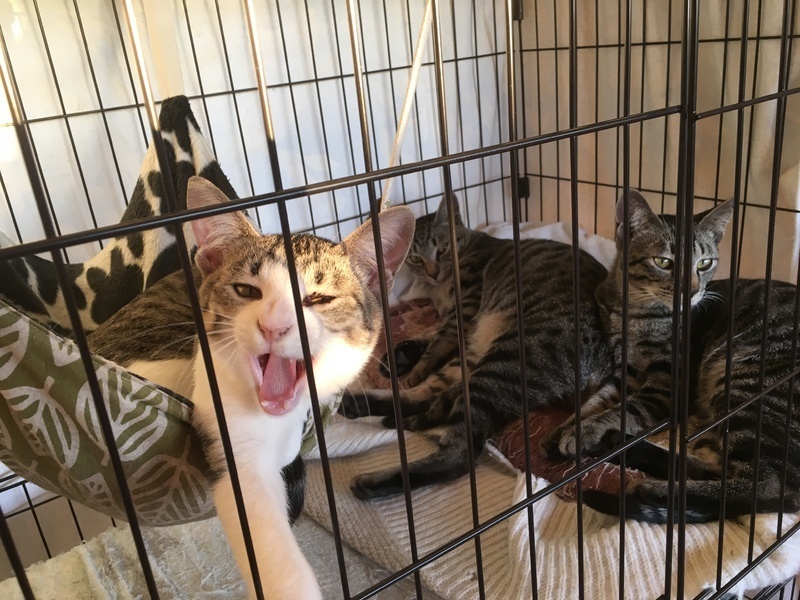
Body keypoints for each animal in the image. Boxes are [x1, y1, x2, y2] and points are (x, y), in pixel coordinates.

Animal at [342, 195, 617, 499]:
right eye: (416, 257)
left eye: (442, 249)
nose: (433, 273)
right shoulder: (461, 326)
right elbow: (431, 336)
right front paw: (402, 356)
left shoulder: (464, 312)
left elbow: (437, 342)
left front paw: (414, 365)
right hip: (480, 357)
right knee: (429, 396)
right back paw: (361, 403)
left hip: (507, 362)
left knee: (460, 453)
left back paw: (375, 480)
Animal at [546, 190, 800, 523]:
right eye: (663, 262)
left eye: (704, 263)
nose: (691, 291)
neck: (635, 313)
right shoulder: (624, 373)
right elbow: (596, 401)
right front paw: (567, 427)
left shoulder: (666, 385)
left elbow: (626, 408)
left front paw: (588, 429)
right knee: (723, 468)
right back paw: (625, 448)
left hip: (745, 382)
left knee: (770, 488)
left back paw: (653, 488)